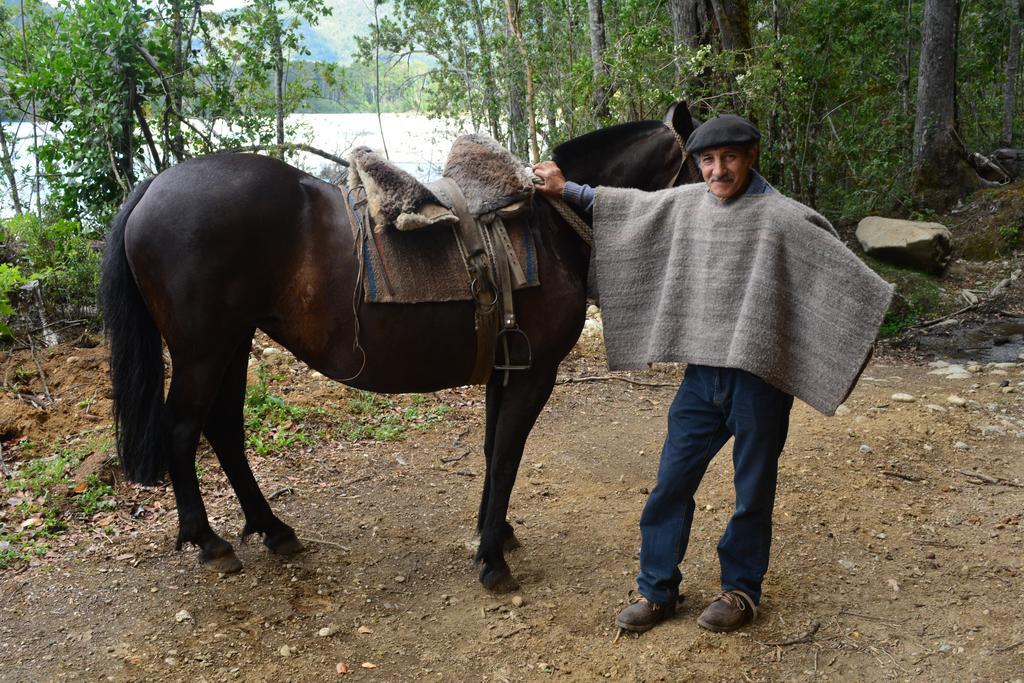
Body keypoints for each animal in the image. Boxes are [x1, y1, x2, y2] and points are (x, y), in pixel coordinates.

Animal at [99, 98, 700, 589]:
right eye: (701, 167)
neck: (550, 228)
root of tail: (153, 186)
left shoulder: (505, 368)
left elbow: (493, 451)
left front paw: (495, 532)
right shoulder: (535, 373)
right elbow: (508, 455)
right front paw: (492, 560)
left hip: (234, 342)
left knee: (223, 429)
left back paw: (273, 529)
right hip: (204, 349)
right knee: (182, 430)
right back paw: (209, 541)